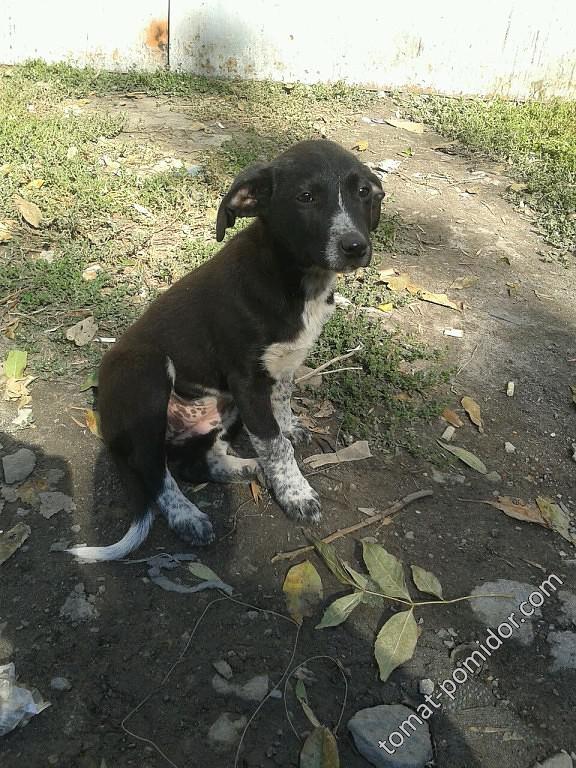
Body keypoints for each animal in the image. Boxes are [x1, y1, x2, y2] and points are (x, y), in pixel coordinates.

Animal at [68, 139, 384, 562]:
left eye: (363, 192)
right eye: (306, 197)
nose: (355, 247)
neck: (296, 279)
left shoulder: (279, 370)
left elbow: (281, 413)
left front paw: (289, 433)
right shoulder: (247, 381)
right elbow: (274, 443)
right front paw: (296, 493)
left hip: (219, 410)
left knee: (199, 463)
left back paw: (249, 469)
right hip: (148, 377)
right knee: (155, 471)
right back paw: (187, 515)